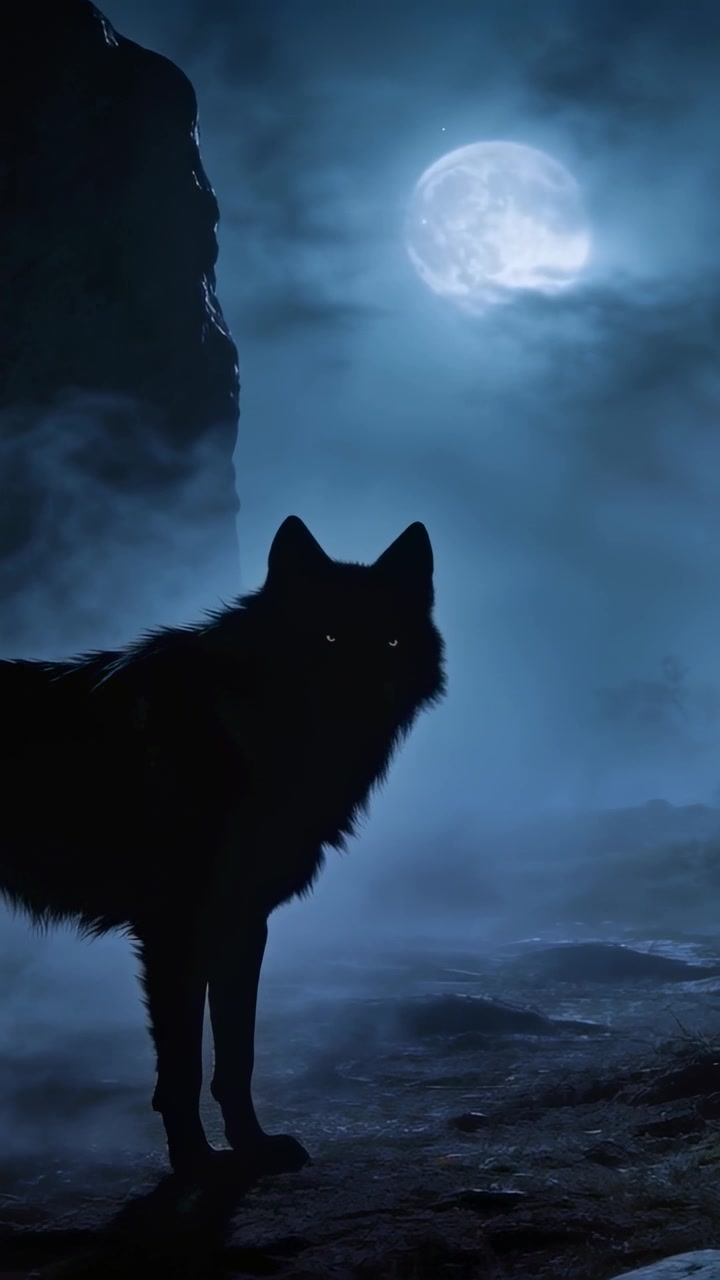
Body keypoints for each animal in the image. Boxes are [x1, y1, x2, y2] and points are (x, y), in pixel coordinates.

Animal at [0, 516, 446, 1177]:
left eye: (390, 643)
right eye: (329, 635)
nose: (365, 699)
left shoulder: (242, 923)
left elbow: (237, 1057)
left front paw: (252, 1147)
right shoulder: (174, 930)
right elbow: (184, 1068)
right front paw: (197, 1165)